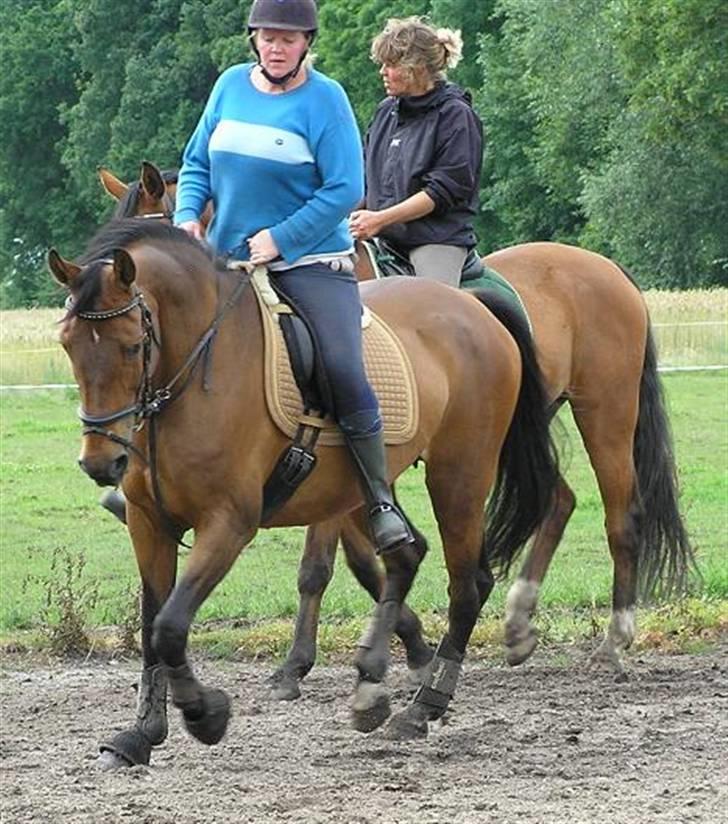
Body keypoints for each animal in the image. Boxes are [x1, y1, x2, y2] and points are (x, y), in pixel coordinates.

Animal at [49, 219, 556, 768]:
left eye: (130, 345)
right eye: (68, 345)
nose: (101, 462)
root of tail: (471, 305)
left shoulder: (229, 522)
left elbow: (171, 626)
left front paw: (207, 716)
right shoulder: (149, 522)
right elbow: (151, 629)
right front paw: (141, 733)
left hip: (458, 475)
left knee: (467, 585)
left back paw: (422, 707)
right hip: (370, 489)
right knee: (405, 555)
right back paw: (371, 687)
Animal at [98, 163, 692, 688]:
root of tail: (608, 269)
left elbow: (321, 566)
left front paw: (300, 664)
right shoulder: (346, 475)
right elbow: (365, 560)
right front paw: (408, 643)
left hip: (603, 414)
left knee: (621, 518)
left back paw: (614, 640)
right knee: (558, 499)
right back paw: (519, 624)